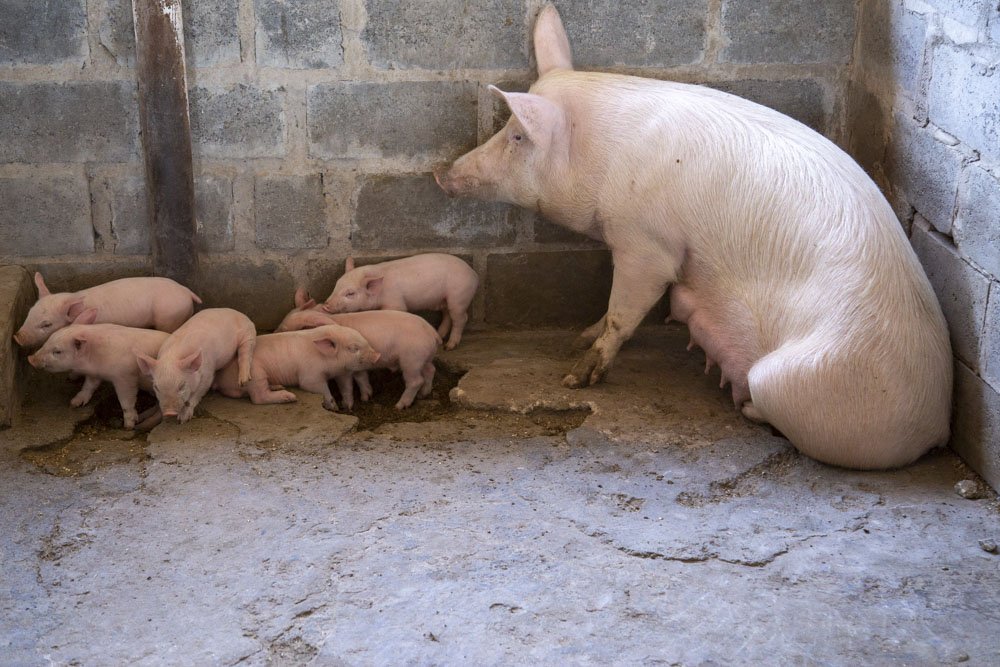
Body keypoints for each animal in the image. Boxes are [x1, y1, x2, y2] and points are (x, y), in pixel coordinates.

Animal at [27, 310, 169, 429]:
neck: (95, 360)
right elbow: (88, 387)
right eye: (49, 340)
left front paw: (128, 426)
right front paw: (74, 403)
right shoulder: (95, 374)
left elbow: (126, 399)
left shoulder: (125, 377)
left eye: (57, 351)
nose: (31, 359)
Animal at [212, 324, 381, 411]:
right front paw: (333, 407)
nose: (377, 355)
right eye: (353, 348)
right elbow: (320, 387)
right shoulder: (310, 375)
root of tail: (219, 378)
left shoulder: (341, 372)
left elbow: (346, 386)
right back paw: (289, 397)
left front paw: (347, 407)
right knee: (258, 397)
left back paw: (278, 386)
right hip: (255, 374)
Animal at [276, 294, 441, 410]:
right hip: (424, 358)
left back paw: (399, 406)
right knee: (431, 369)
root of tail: (433, 332)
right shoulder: (359, 363)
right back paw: (423, 395)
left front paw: (348, 405)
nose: (274, 332)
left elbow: (351, 381)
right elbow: (361, 377)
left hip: (411, 359)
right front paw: (366, 398)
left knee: (415, 380)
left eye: (285, 328)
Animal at [322, 253, 478, 350]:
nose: (326, 306)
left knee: (461, 318)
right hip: (445, 299)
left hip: (459, 297)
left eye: (350, 293)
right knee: (447, 315)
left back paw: (449, 347)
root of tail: (473, 273)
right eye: (336, 285)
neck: (380, 291)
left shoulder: (395, 301)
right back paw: (439, 336)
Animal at [433, 4, 952, 470]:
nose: (441, 173)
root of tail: (933, 428)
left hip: (791, 377)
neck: (602, 159)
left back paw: (745, 406)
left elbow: (624, 311)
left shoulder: (646, 244)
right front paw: (578, 338)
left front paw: (575, 376)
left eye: (518, 136)